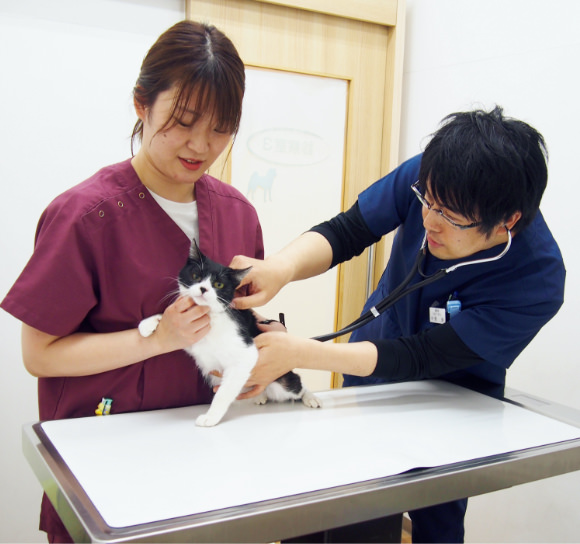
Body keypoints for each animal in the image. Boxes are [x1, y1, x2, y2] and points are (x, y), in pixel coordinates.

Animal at [140, 240, 322, 428]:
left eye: (218, 285)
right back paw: (261, 397)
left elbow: (224, 392)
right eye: (196, 276)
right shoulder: (193, 340)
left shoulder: (244, 353)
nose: (203, 288)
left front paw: (211, 416)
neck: (210, 317)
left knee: (296, 385)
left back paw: (311, 397)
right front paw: (150, 323)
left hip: (281, 382)